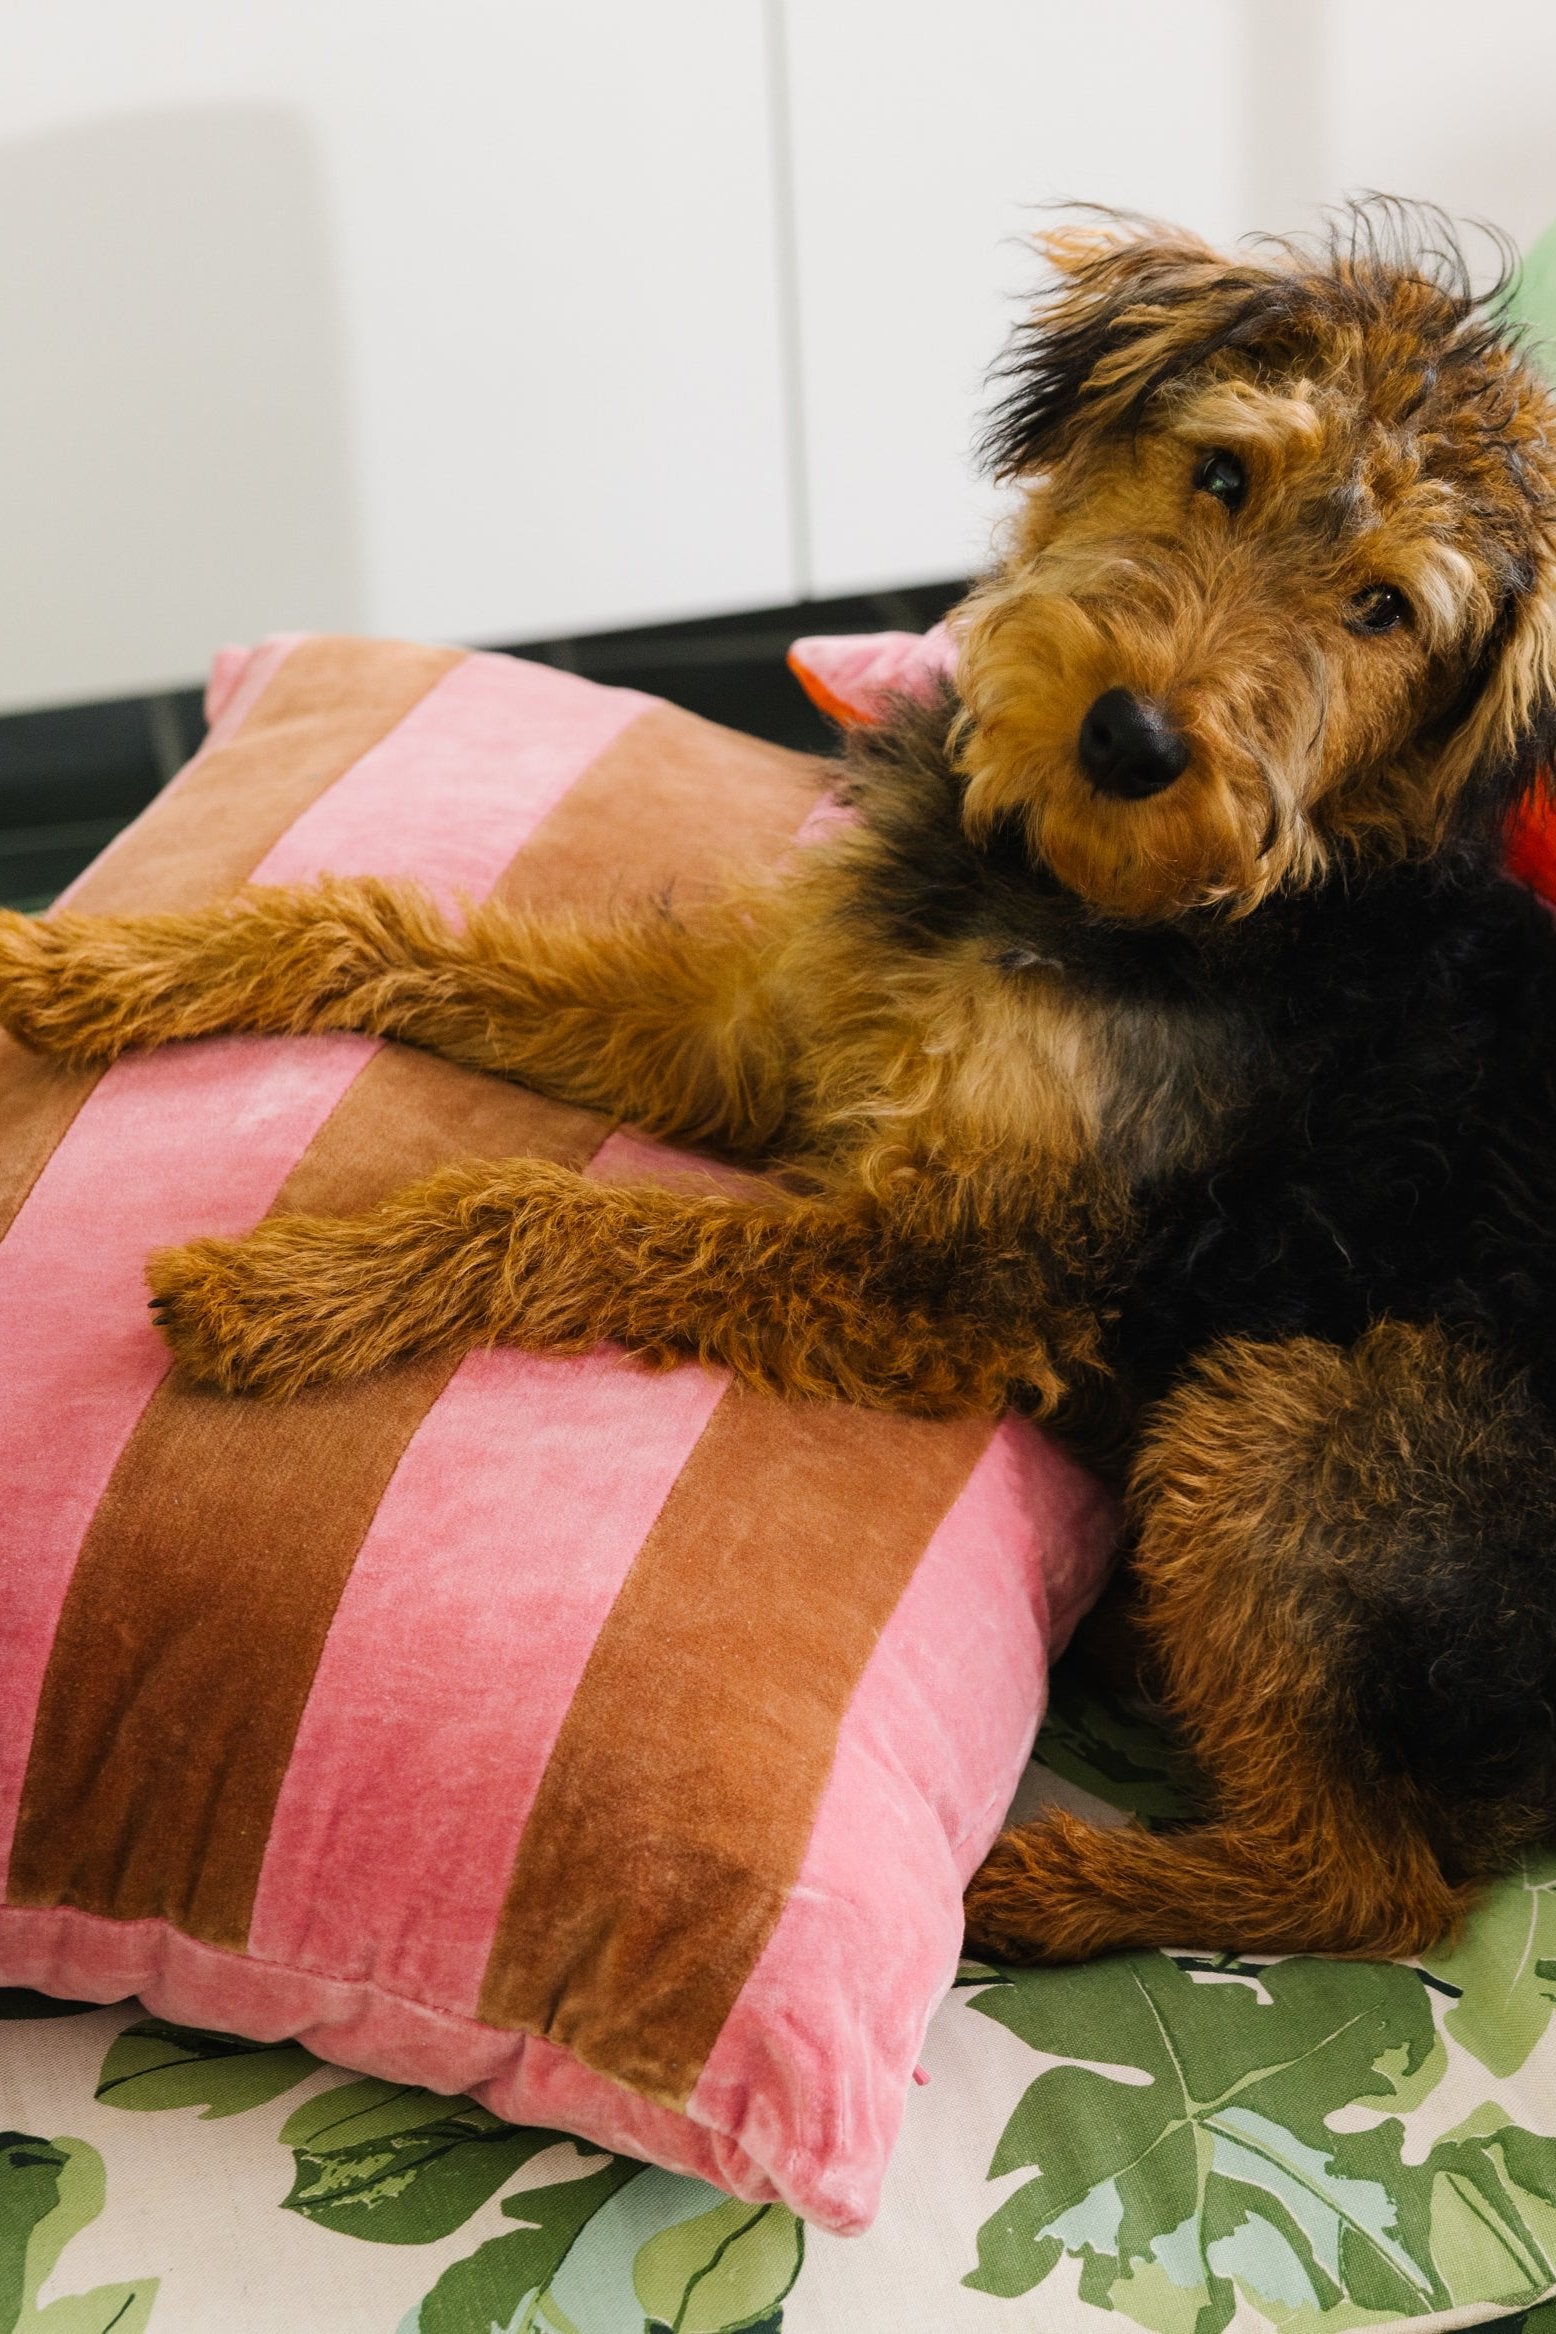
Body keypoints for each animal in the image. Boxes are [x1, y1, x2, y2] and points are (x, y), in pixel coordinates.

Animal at [3, 205, 1556, 1969]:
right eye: (1224, 473)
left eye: (1382, 611)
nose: (1132, 742)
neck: (1086, 892)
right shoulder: (764, 1029)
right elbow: (369, 925)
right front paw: (95, 963)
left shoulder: (963, 1267)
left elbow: (546, 1211)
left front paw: (295, 1284)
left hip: (1289, 1412)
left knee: (1376, 1880)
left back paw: (1050, 1882)